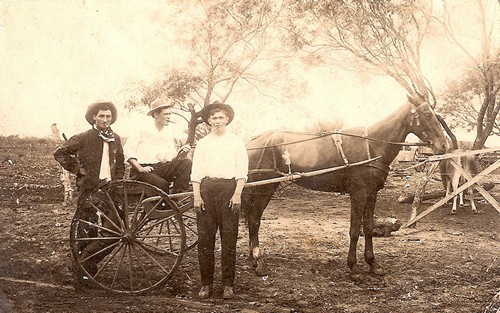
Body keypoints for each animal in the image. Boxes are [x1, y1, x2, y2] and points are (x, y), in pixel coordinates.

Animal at [240, 94, 448, 280]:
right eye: (427, 114)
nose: (444, 145)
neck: (372, 146)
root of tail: (251, 142)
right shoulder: (358, 194)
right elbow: (355, 230)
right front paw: (354, 267)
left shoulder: (372, 194)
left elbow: (368, 228)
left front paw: (373, 264)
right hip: (263, 189)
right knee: (254, 221)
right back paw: (259, 261)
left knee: (252, 220)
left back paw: (253, 259)